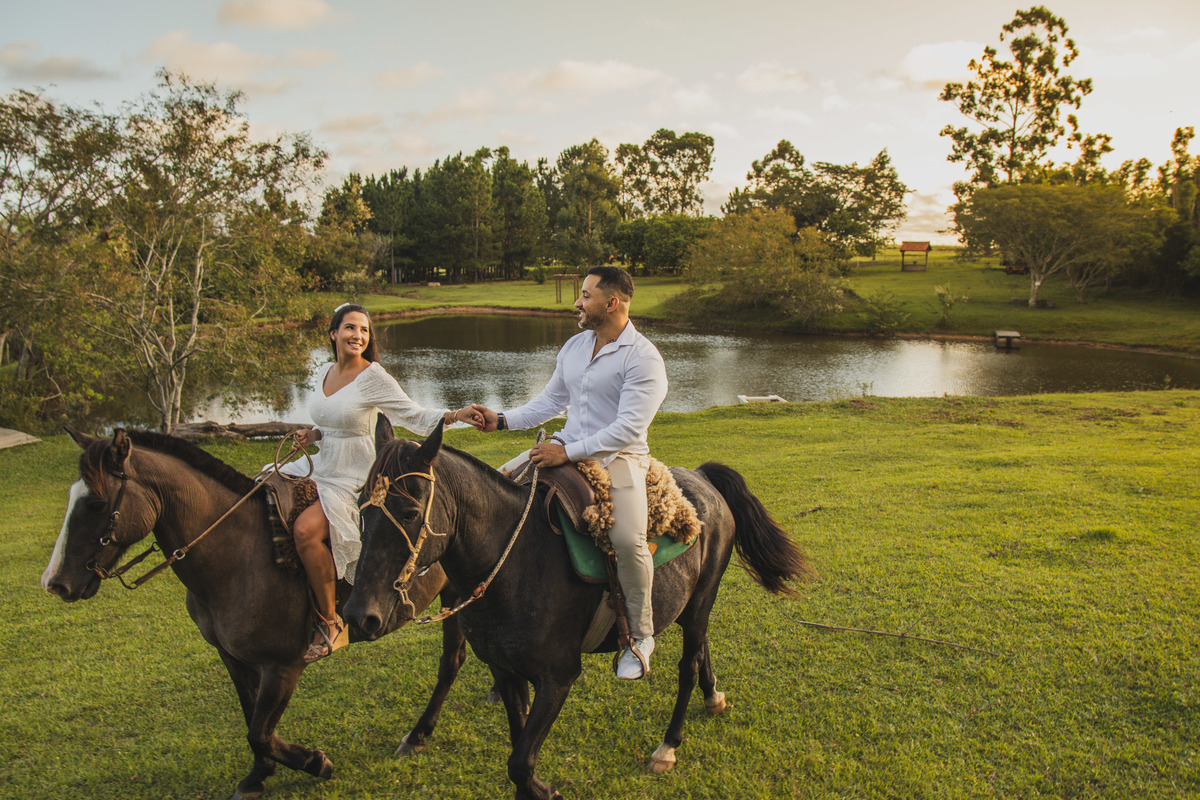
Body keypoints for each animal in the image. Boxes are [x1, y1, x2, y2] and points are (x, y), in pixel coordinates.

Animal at [40, 423, 472, 800]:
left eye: (96, 503)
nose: (56, 582)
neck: (239, 557)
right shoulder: (232, 657)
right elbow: (253, 720)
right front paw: (258, 776)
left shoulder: (282, 666)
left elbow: (260, 732)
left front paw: (315, 762)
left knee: (450, 661)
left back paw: (418, 733)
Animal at [344, 423, 816, 800]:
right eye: (360, 505)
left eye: (409, 511)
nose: (358, 616)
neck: (514, 562)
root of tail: (700, 479)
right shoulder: (505, 670)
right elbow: (517, 747)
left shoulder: (558, 677)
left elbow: (520, 762)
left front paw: (545, 789)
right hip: (690, 604)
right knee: (701, 649)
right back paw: (713, 696)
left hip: (703, 598)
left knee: (688, 664)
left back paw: (668, 745)